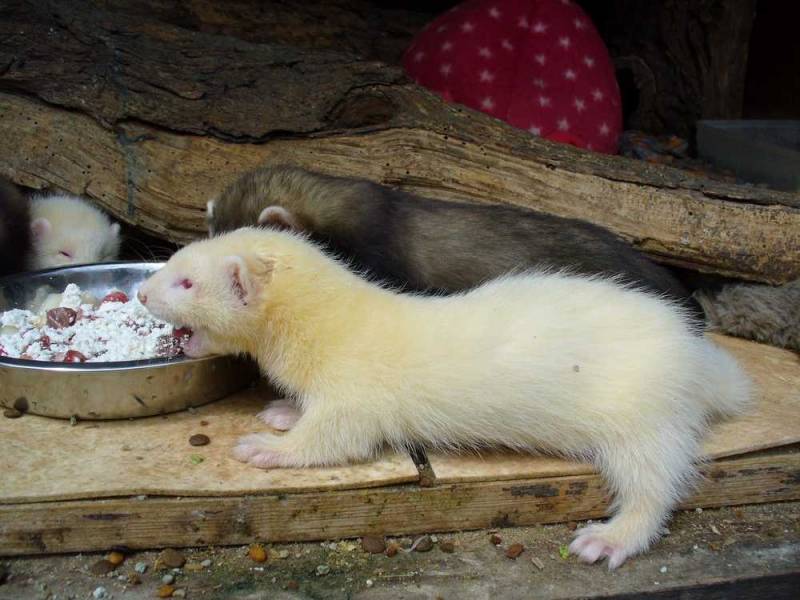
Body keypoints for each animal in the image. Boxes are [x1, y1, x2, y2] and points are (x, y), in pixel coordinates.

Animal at [138, 228, 752, 568]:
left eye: (187, 282)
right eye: (177, 256)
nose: (142, 290)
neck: (337, 328)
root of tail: (697, 356)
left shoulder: (356, 396)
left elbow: (333, 439)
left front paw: (266, 447)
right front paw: (283, 412)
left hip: (642, 423)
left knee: (656, 489)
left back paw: (609, 539)